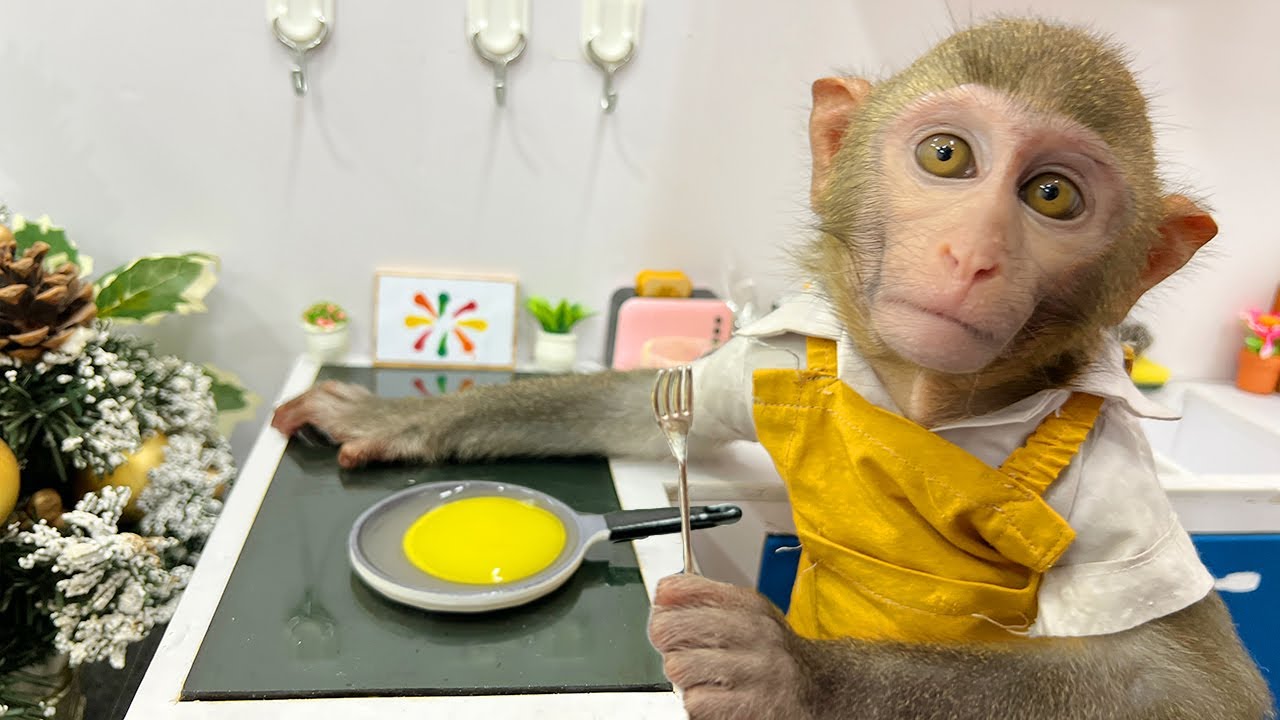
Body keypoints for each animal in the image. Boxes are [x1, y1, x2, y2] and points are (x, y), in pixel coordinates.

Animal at [272, 17, 1275, 720]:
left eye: (1053, 196)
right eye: (947, 154)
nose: (973, 255)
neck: (922, 406)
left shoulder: (1114, 480)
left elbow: (1190, 690)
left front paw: (789, 669)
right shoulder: (789, 352)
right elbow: (645, 415)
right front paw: (391, 419)